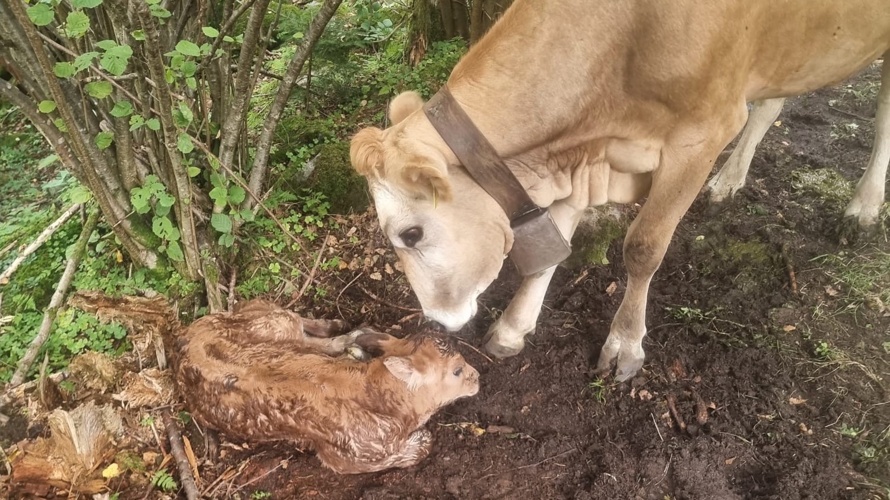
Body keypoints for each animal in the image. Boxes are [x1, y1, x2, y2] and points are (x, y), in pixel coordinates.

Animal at [173, 298, 478, 474]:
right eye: (457, 370)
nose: (476, 377)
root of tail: (185, 340)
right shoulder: (351, 456)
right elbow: (423, 444)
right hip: (276, 324)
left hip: (271, 323)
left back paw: (344, 329)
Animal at [348, 0, 888, 380]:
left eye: (411, 234)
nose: (437, 322)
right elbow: (555, 244)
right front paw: (514, 327)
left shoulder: (702, 133)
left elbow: (644, 248)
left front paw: (624, 344)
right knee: (775, 100)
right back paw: (730, 180)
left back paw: (861, 208)